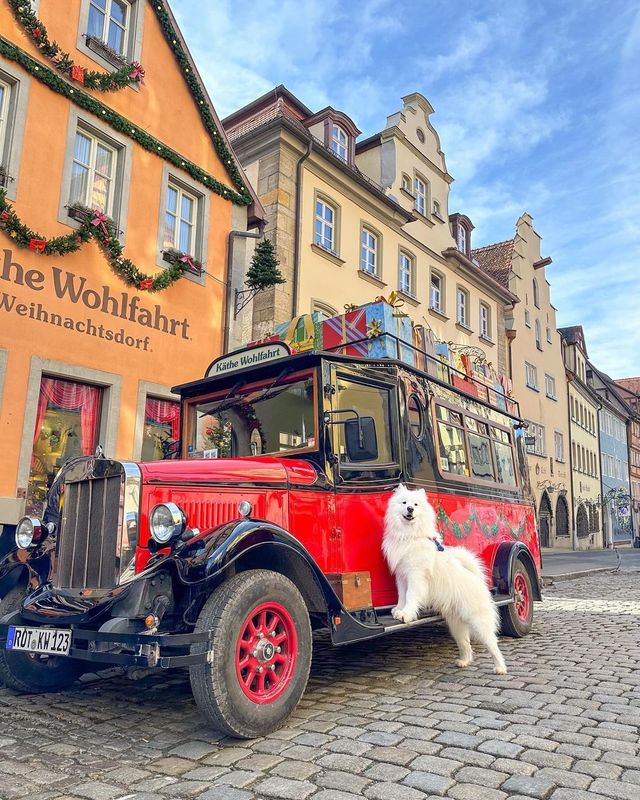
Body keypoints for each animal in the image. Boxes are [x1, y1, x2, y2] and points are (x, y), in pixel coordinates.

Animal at [382, 484, 508, 672]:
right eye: (404, 502)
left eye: (416, 504)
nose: (410, 509)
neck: (411, 535)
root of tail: (476, 578)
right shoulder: (402, 576)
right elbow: (402, 596)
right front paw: (399, 610)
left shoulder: (415, 575)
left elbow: (411, 597)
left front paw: (407, 614)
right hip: (456, 624)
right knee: (465, 643)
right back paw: (464, 661)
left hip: (478, 621)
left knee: (492, 643)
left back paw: (500, 668)